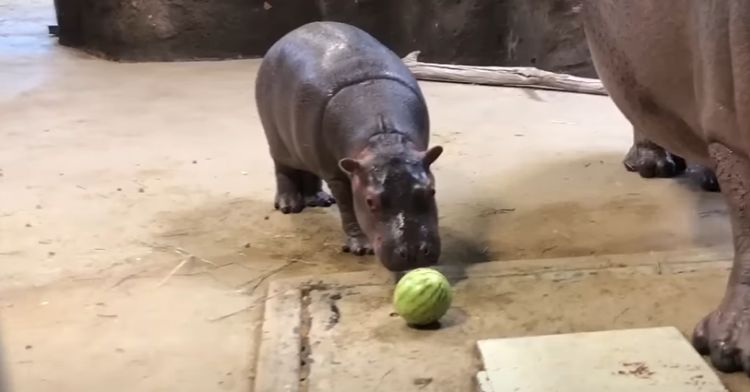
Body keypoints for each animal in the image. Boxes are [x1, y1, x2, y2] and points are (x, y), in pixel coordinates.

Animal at [256, 21, 444, 272]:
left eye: (431, 191)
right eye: (370, 201)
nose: (414, 253)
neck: (383, 140)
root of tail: (289, 34)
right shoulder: (337, 174)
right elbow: (348, 208)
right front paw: (361, 248)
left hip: (306, 147)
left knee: (308, 169)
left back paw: (319, 200)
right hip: (277, 140)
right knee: (283, 168)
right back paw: (289, 205)